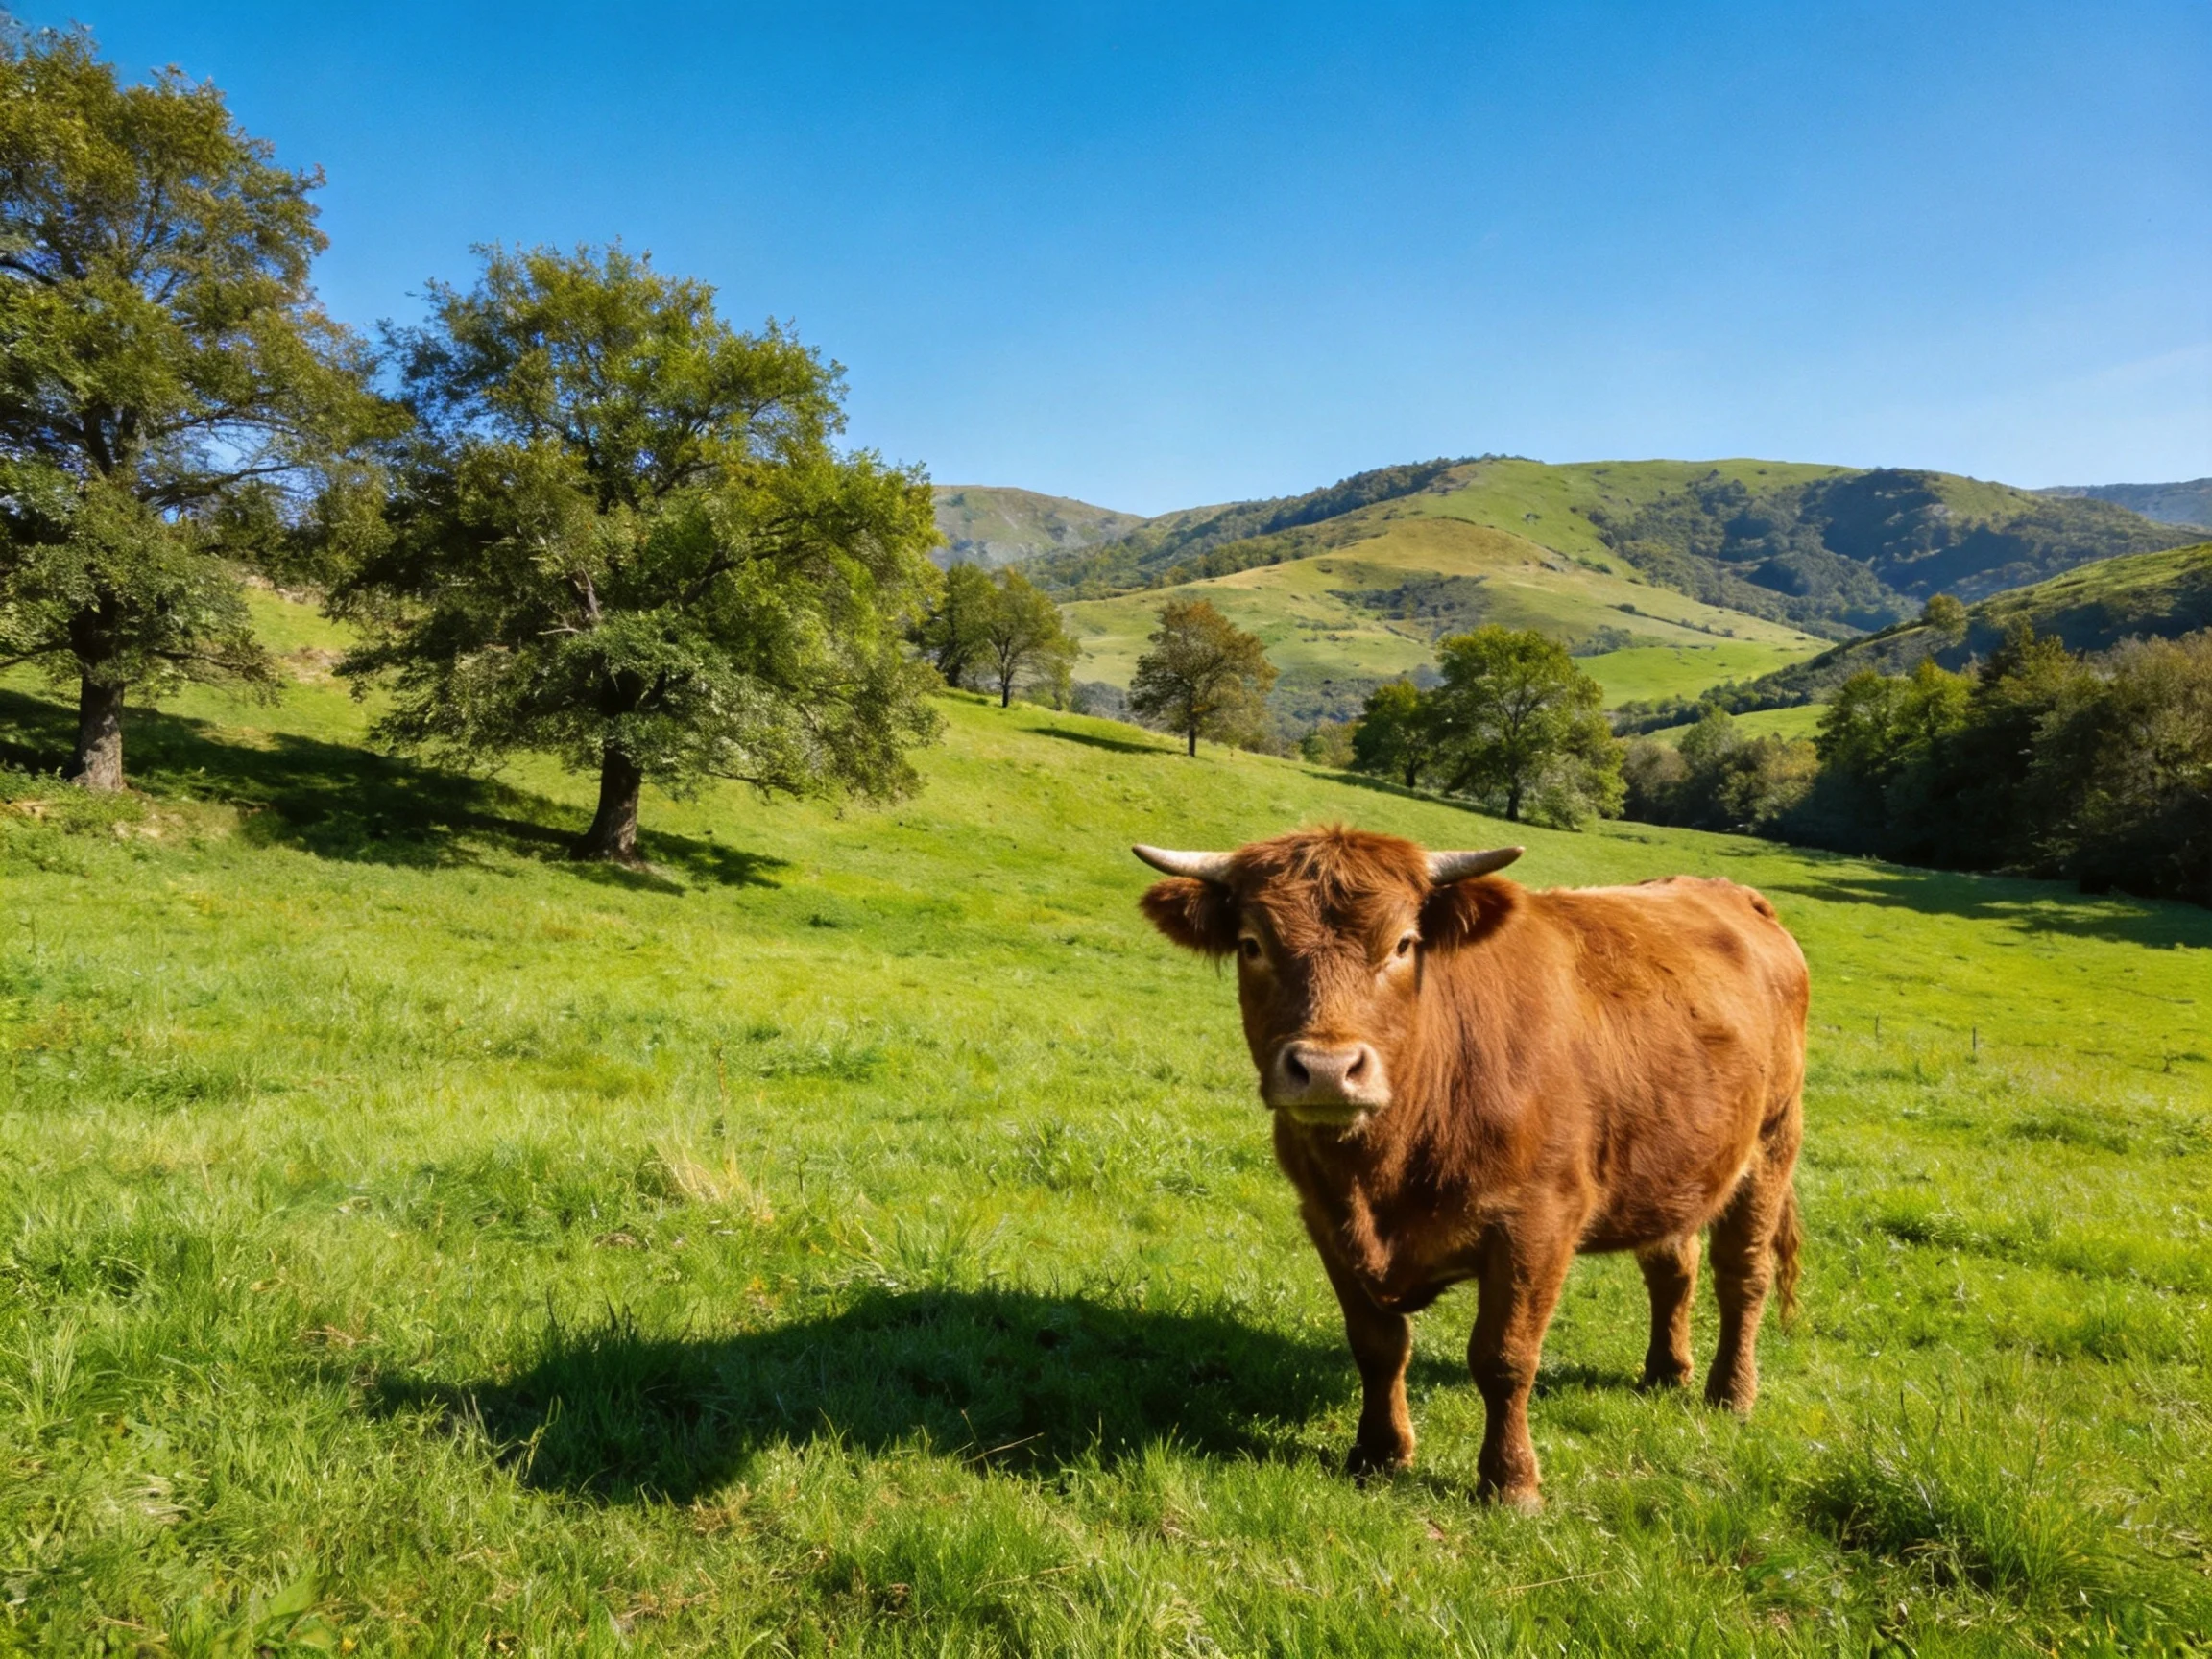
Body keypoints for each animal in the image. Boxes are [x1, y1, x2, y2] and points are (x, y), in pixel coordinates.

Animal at [1133, 826, 1807, 1510]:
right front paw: (1378, 1454)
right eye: (1252, 944)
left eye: (1403, 944)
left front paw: (1510, 1482)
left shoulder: (1537, 1223)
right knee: (1674, 1267)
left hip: (1773, 1142)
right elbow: (1376, 1347)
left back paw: (1731, 1393)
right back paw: (1667, 1373)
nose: (1326, 1069)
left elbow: (1503, 1357)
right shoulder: (1325, 1218)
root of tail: (1731, 894)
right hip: (1671, 1163)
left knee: (1742, 1276)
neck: (1381, 1174)